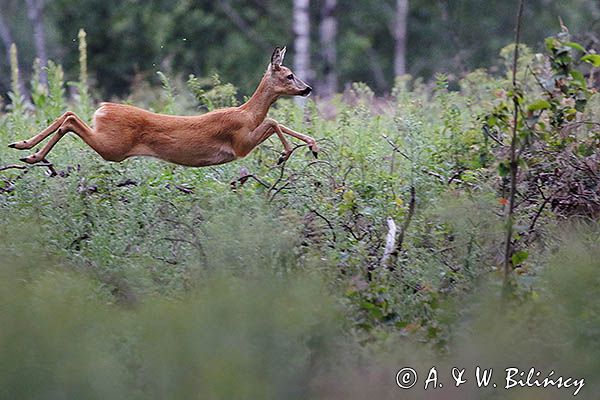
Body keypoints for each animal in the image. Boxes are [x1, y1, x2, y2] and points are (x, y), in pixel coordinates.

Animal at [8, 47, 318, 167]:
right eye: (290, 75)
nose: (307, 88)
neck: (247, 114)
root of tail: (103, 108)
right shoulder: (240, 143)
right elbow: (273, 122)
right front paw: (285, 154)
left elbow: (277, 123)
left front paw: (313, 146)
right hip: (113, 146)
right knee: (71, 120)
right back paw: (29, 152)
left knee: (69, 114)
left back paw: (26, 149)